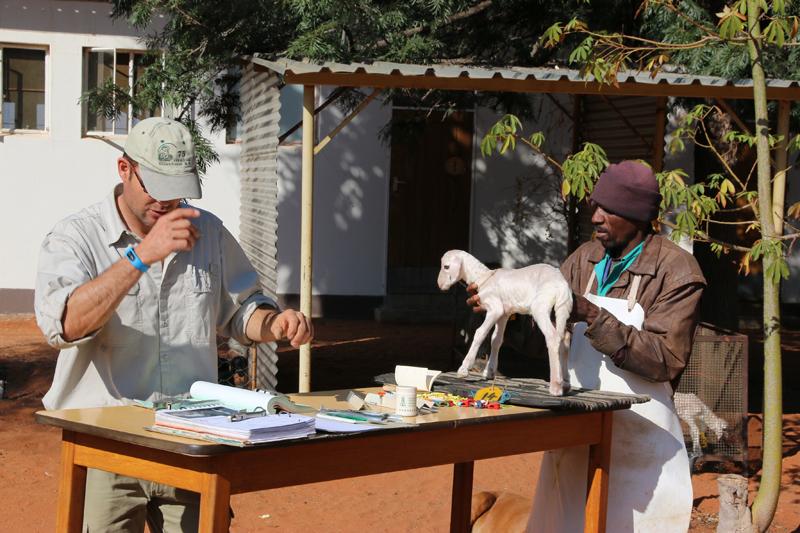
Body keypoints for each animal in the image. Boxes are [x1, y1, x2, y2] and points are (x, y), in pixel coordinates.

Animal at [438, 249, 576, 394]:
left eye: (446, 266)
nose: (440, 284)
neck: (483, 277)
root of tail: (561, 284)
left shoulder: (495, 309)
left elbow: (480, 333)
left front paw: (464, 369)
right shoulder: (504, 314)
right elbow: (496, 339)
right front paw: (489, 372)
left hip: (541, 307)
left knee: (553, 336)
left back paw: (555, 387)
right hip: (562, 309)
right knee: (564, 338)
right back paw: (565, 384)